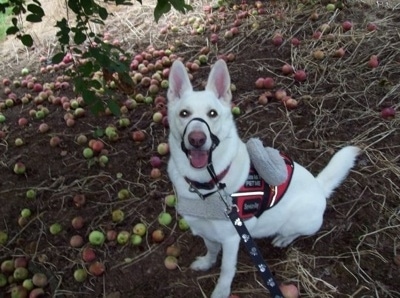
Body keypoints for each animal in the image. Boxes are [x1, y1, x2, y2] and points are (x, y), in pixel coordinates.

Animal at [166, 58, 360, 298]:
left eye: (212, 114)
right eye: (184, 114)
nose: (196, 139)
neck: (208, 184)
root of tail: (318, 186)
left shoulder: (232, 239)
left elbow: (226, 270)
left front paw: (221, 291)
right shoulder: (206, 232)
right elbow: (211, 252)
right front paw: (205, 263)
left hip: (299, 220)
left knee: (296, 232)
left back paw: (283, 238)